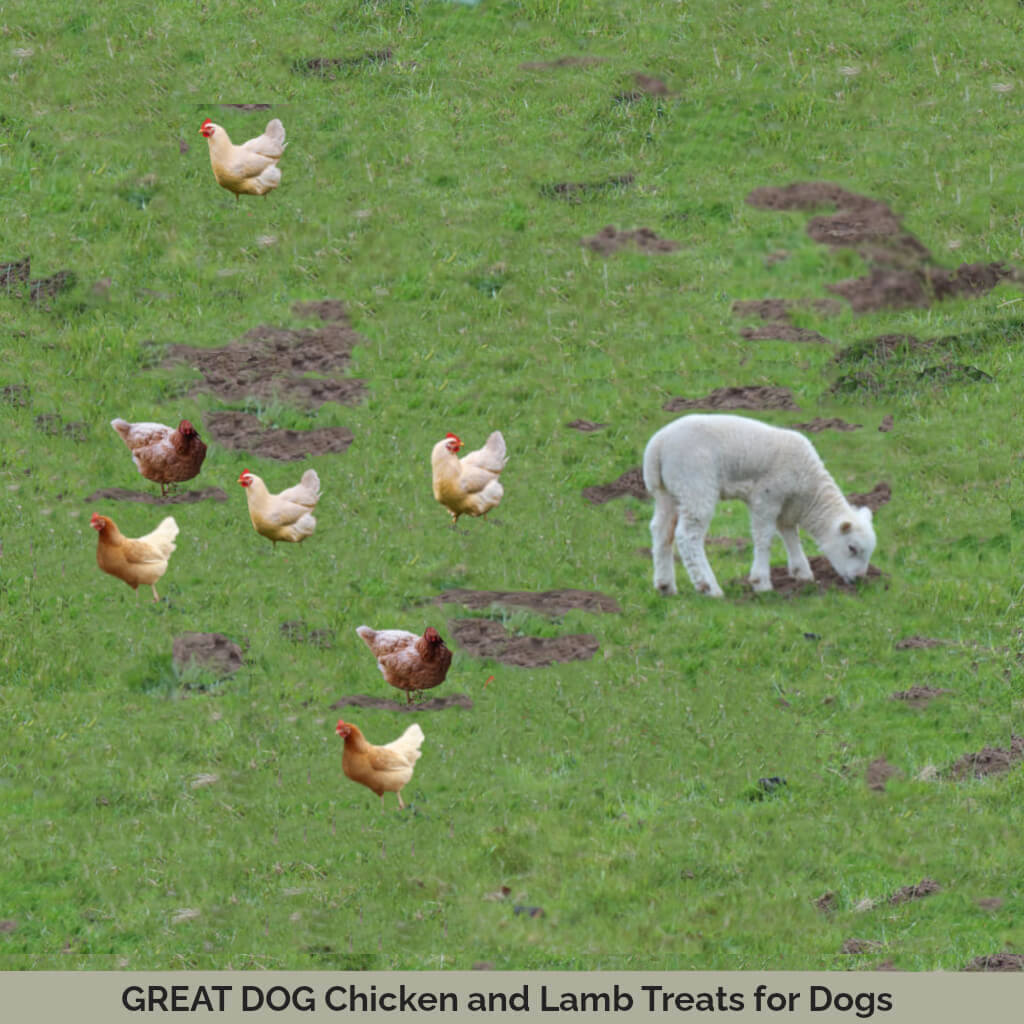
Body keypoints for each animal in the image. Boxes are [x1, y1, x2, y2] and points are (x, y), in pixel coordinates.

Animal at [642, 413, 876, 597]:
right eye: (852, 548)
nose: (859, 579)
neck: (809, 491)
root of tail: (657, 446)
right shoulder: (767, 498)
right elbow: (765, 538)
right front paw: (761, 582)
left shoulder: (787, 506)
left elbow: (791, 535)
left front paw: (802, 573)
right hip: (695, 484)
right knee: (687, 536)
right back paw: (709, 586)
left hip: (668, 492)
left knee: (661, 531)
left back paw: (665, 585)